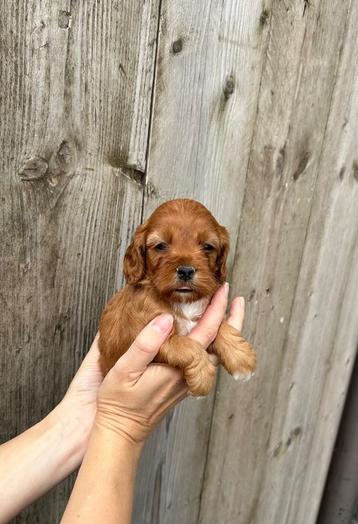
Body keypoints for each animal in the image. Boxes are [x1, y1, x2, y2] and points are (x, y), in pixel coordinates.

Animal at [98, 199, 256, 396]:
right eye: (160, 246)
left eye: (207, 246)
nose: (186, 270)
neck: (182, 301)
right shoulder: (148, 337)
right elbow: (185, 346)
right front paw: (203, 378)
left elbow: (220, 326)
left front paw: (242, 357)